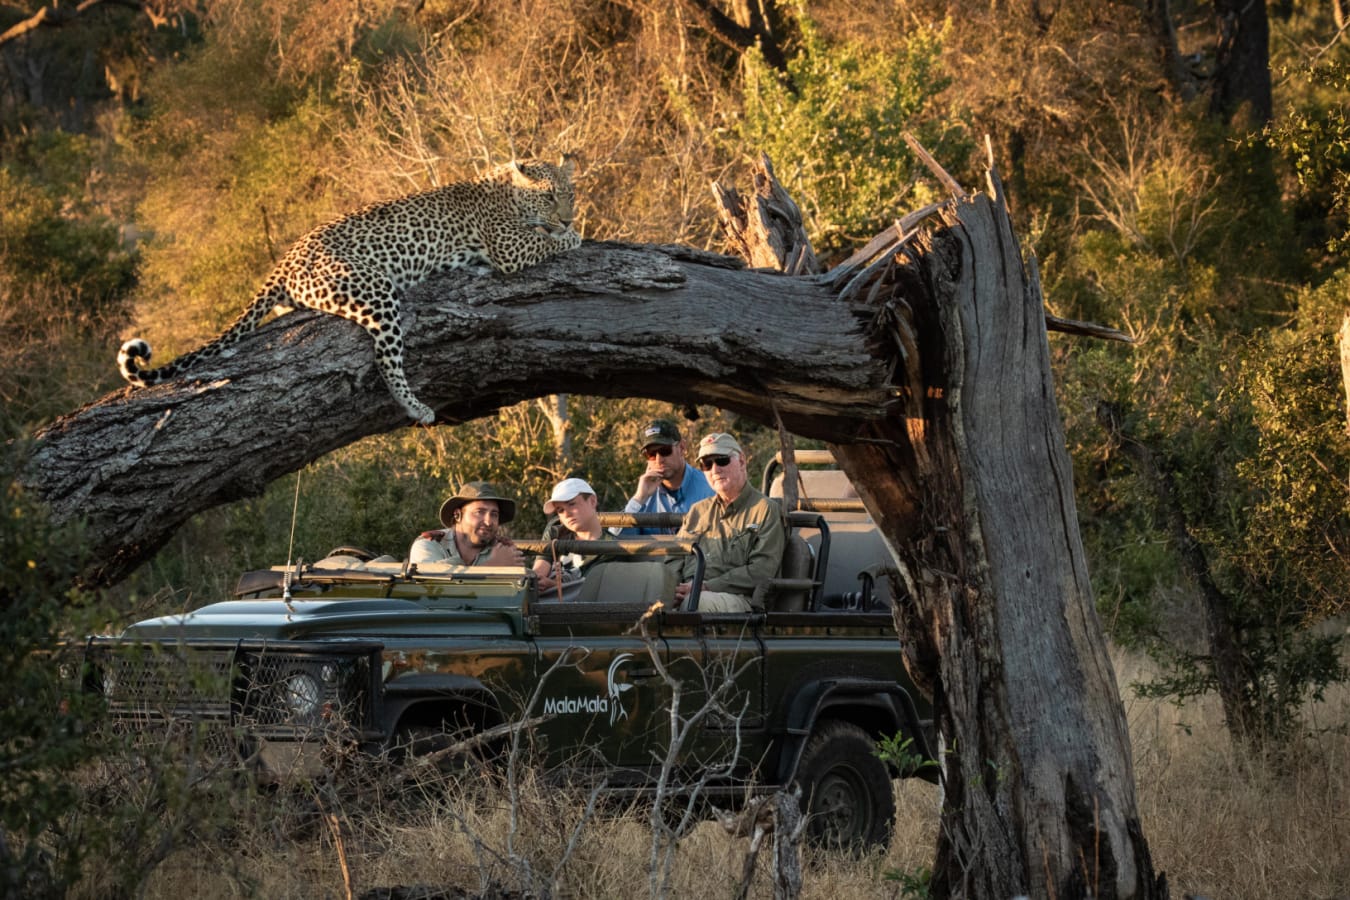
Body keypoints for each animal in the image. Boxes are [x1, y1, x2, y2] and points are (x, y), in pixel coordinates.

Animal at [118, 156, 581, 425]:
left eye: (570, 193)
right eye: (549, 196)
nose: (567, 216)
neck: (507, 191)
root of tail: (284, 260)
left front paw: (573, 228)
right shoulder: (510, 248)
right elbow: (550, 241)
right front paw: (575, 235)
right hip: (375, 290)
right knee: (387, 360)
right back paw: (416, 407)